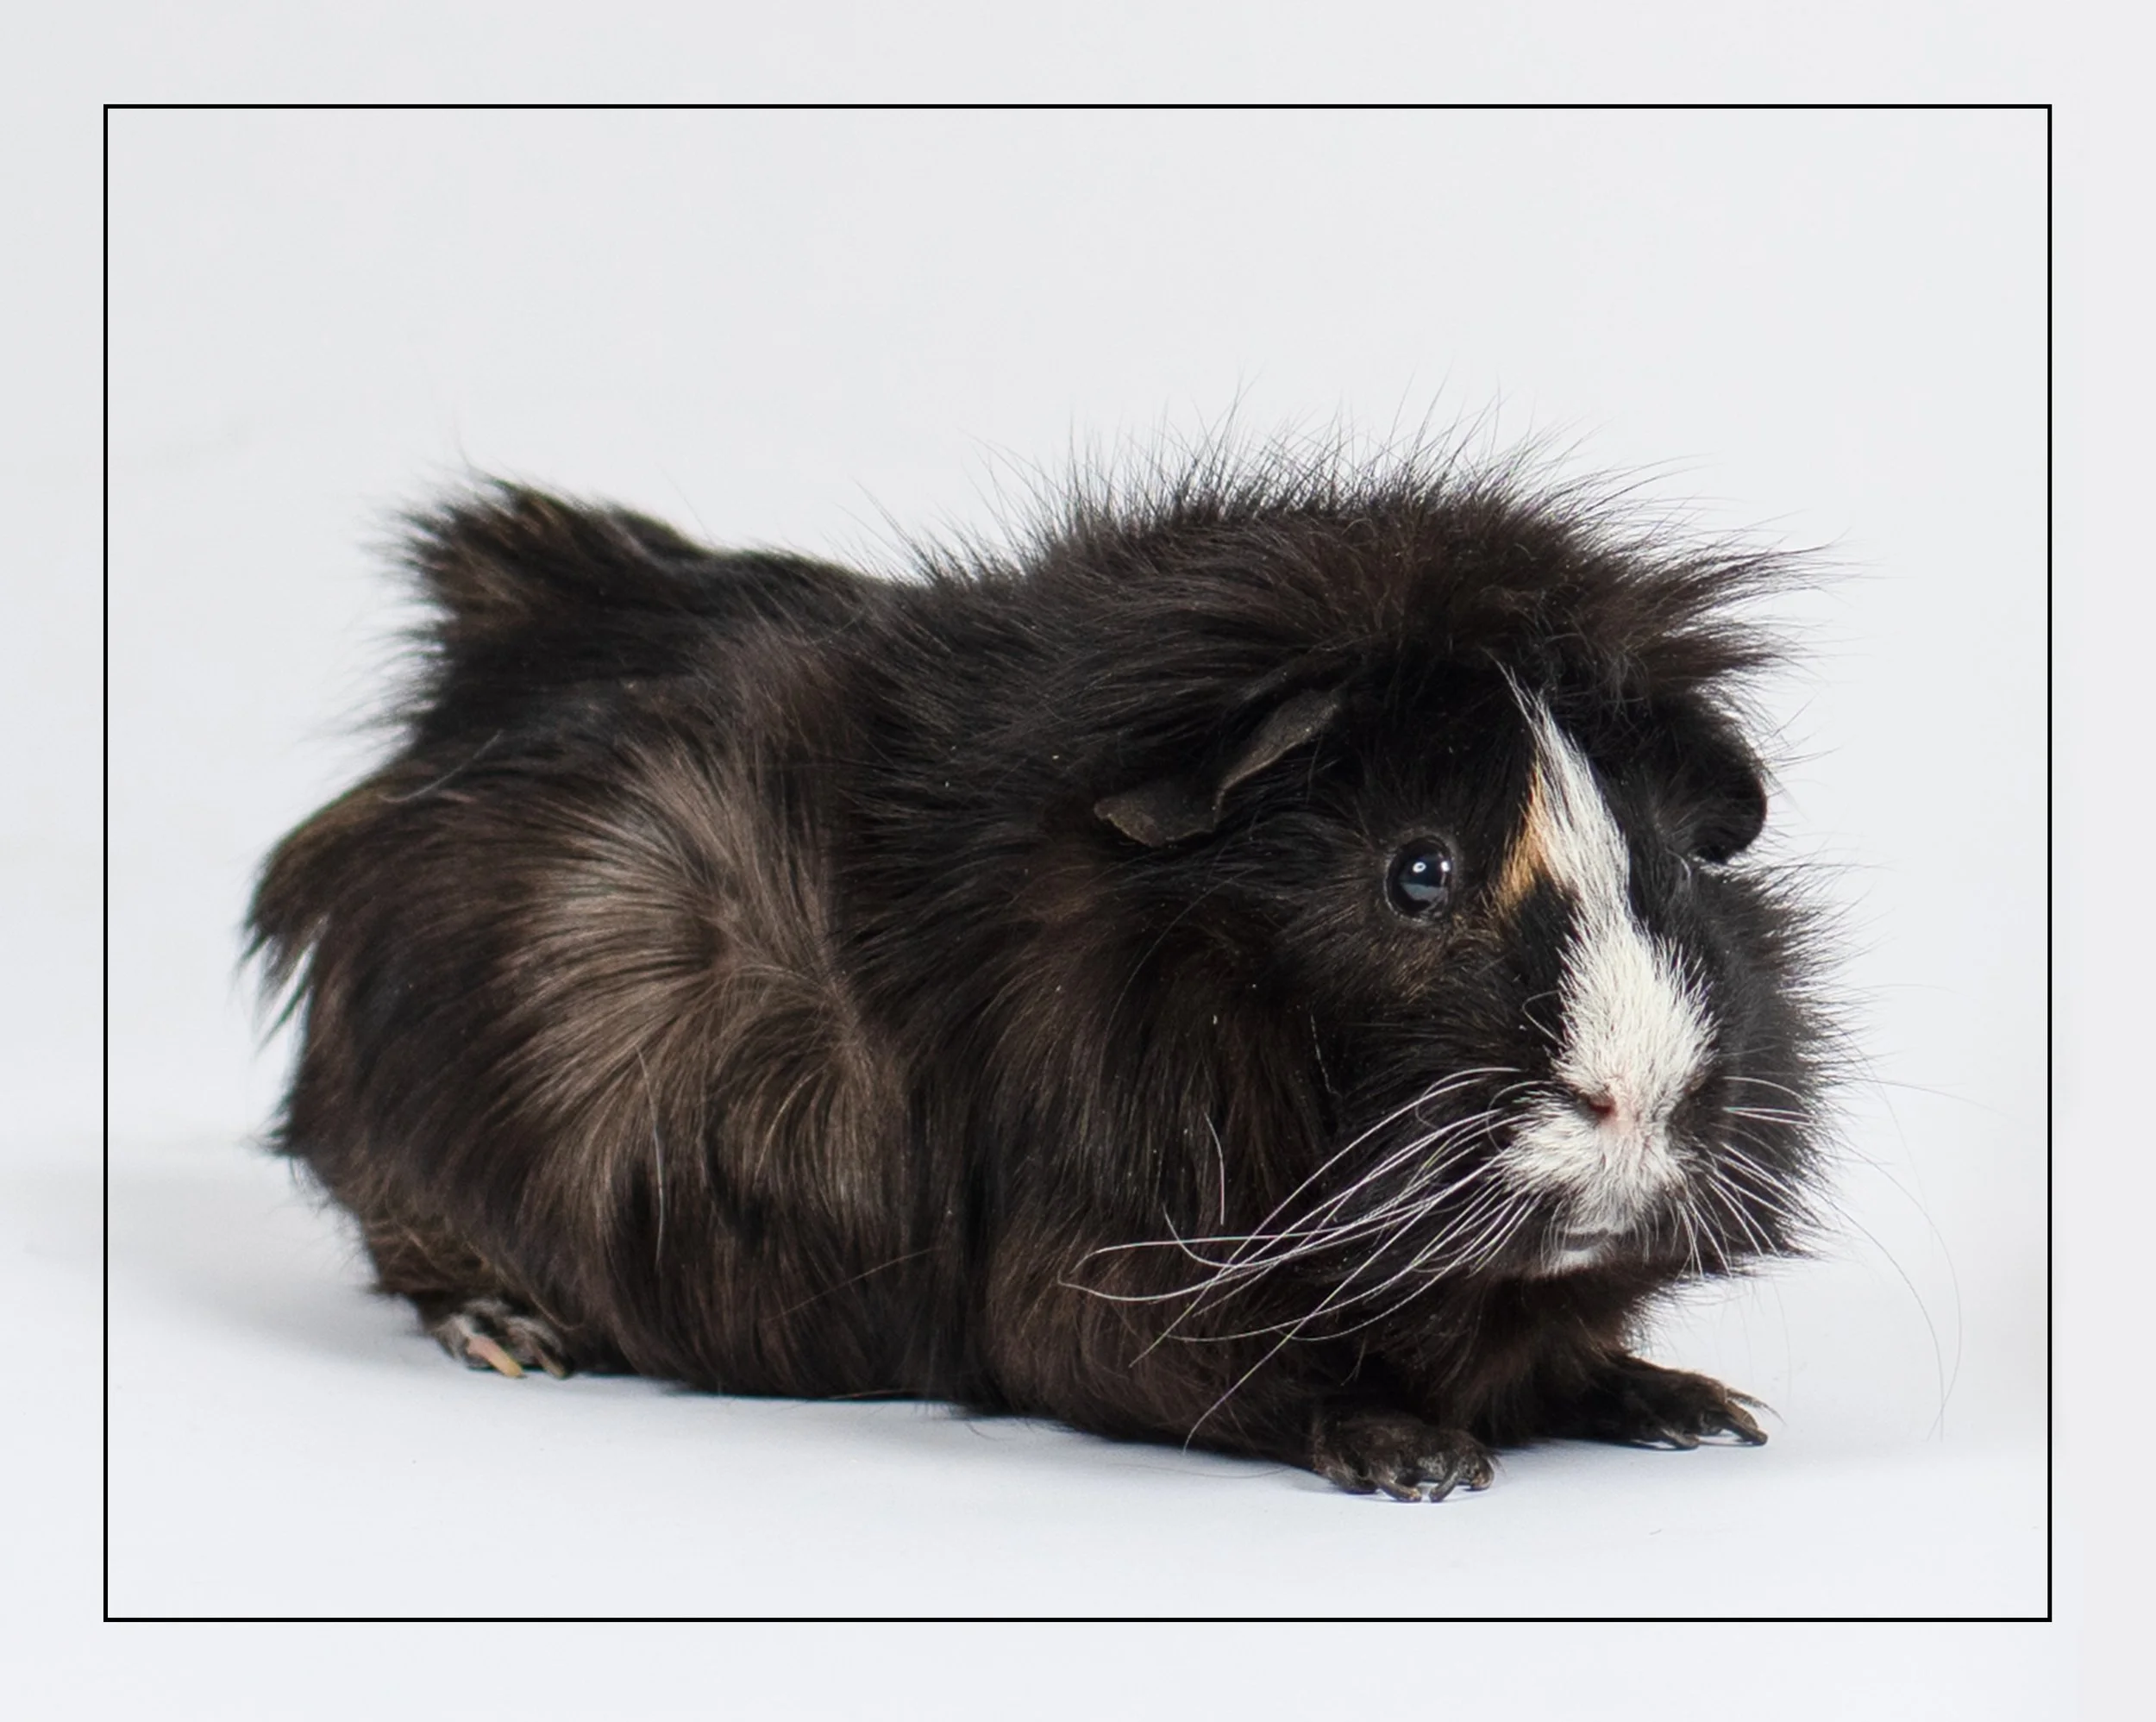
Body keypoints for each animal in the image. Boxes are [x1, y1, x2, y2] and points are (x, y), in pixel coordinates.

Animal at [249, 451, 1836, 1500]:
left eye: (1675, 864)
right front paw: (1423, 1460)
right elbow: (1241, 1384)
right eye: (1418, 870)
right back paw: (514, 1339)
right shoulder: (1092, 1283)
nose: (1637, 1097)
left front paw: (1708, 1412)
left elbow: (1568, 1356)